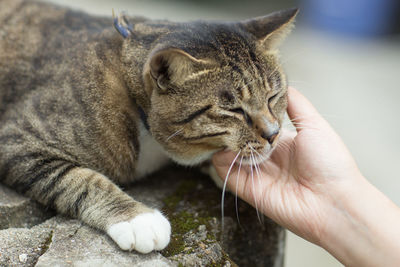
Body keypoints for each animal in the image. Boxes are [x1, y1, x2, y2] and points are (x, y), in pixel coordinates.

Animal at [0, 0, 296, 255]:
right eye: (233, 110)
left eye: (273, 96)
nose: (273, 134)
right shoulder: (17, 139)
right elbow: (81, 180)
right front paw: (137, 219)